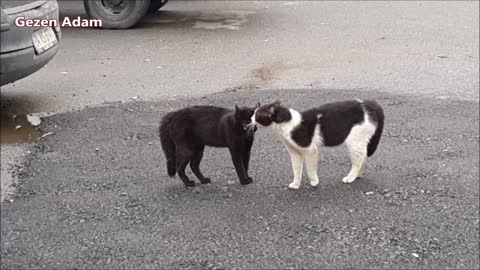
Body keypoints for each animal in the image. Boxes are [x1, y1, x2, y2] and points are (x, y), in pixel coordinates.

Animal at [251, 99, 382, 190]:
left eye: (257, 115)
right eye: (253, 113)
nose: (251, 119)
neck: (288, 123)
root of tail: (369, 103)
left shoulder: (310, 150)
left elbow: (310, 169)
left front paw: (314, 182)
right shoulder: (295, 153)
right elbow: (296, 170)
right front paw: (296, 184)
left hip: (354, 142)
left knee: (358, 161)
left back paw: (350, 177)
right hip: (359, 143)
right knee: (363, 157)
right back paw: (358, 175)